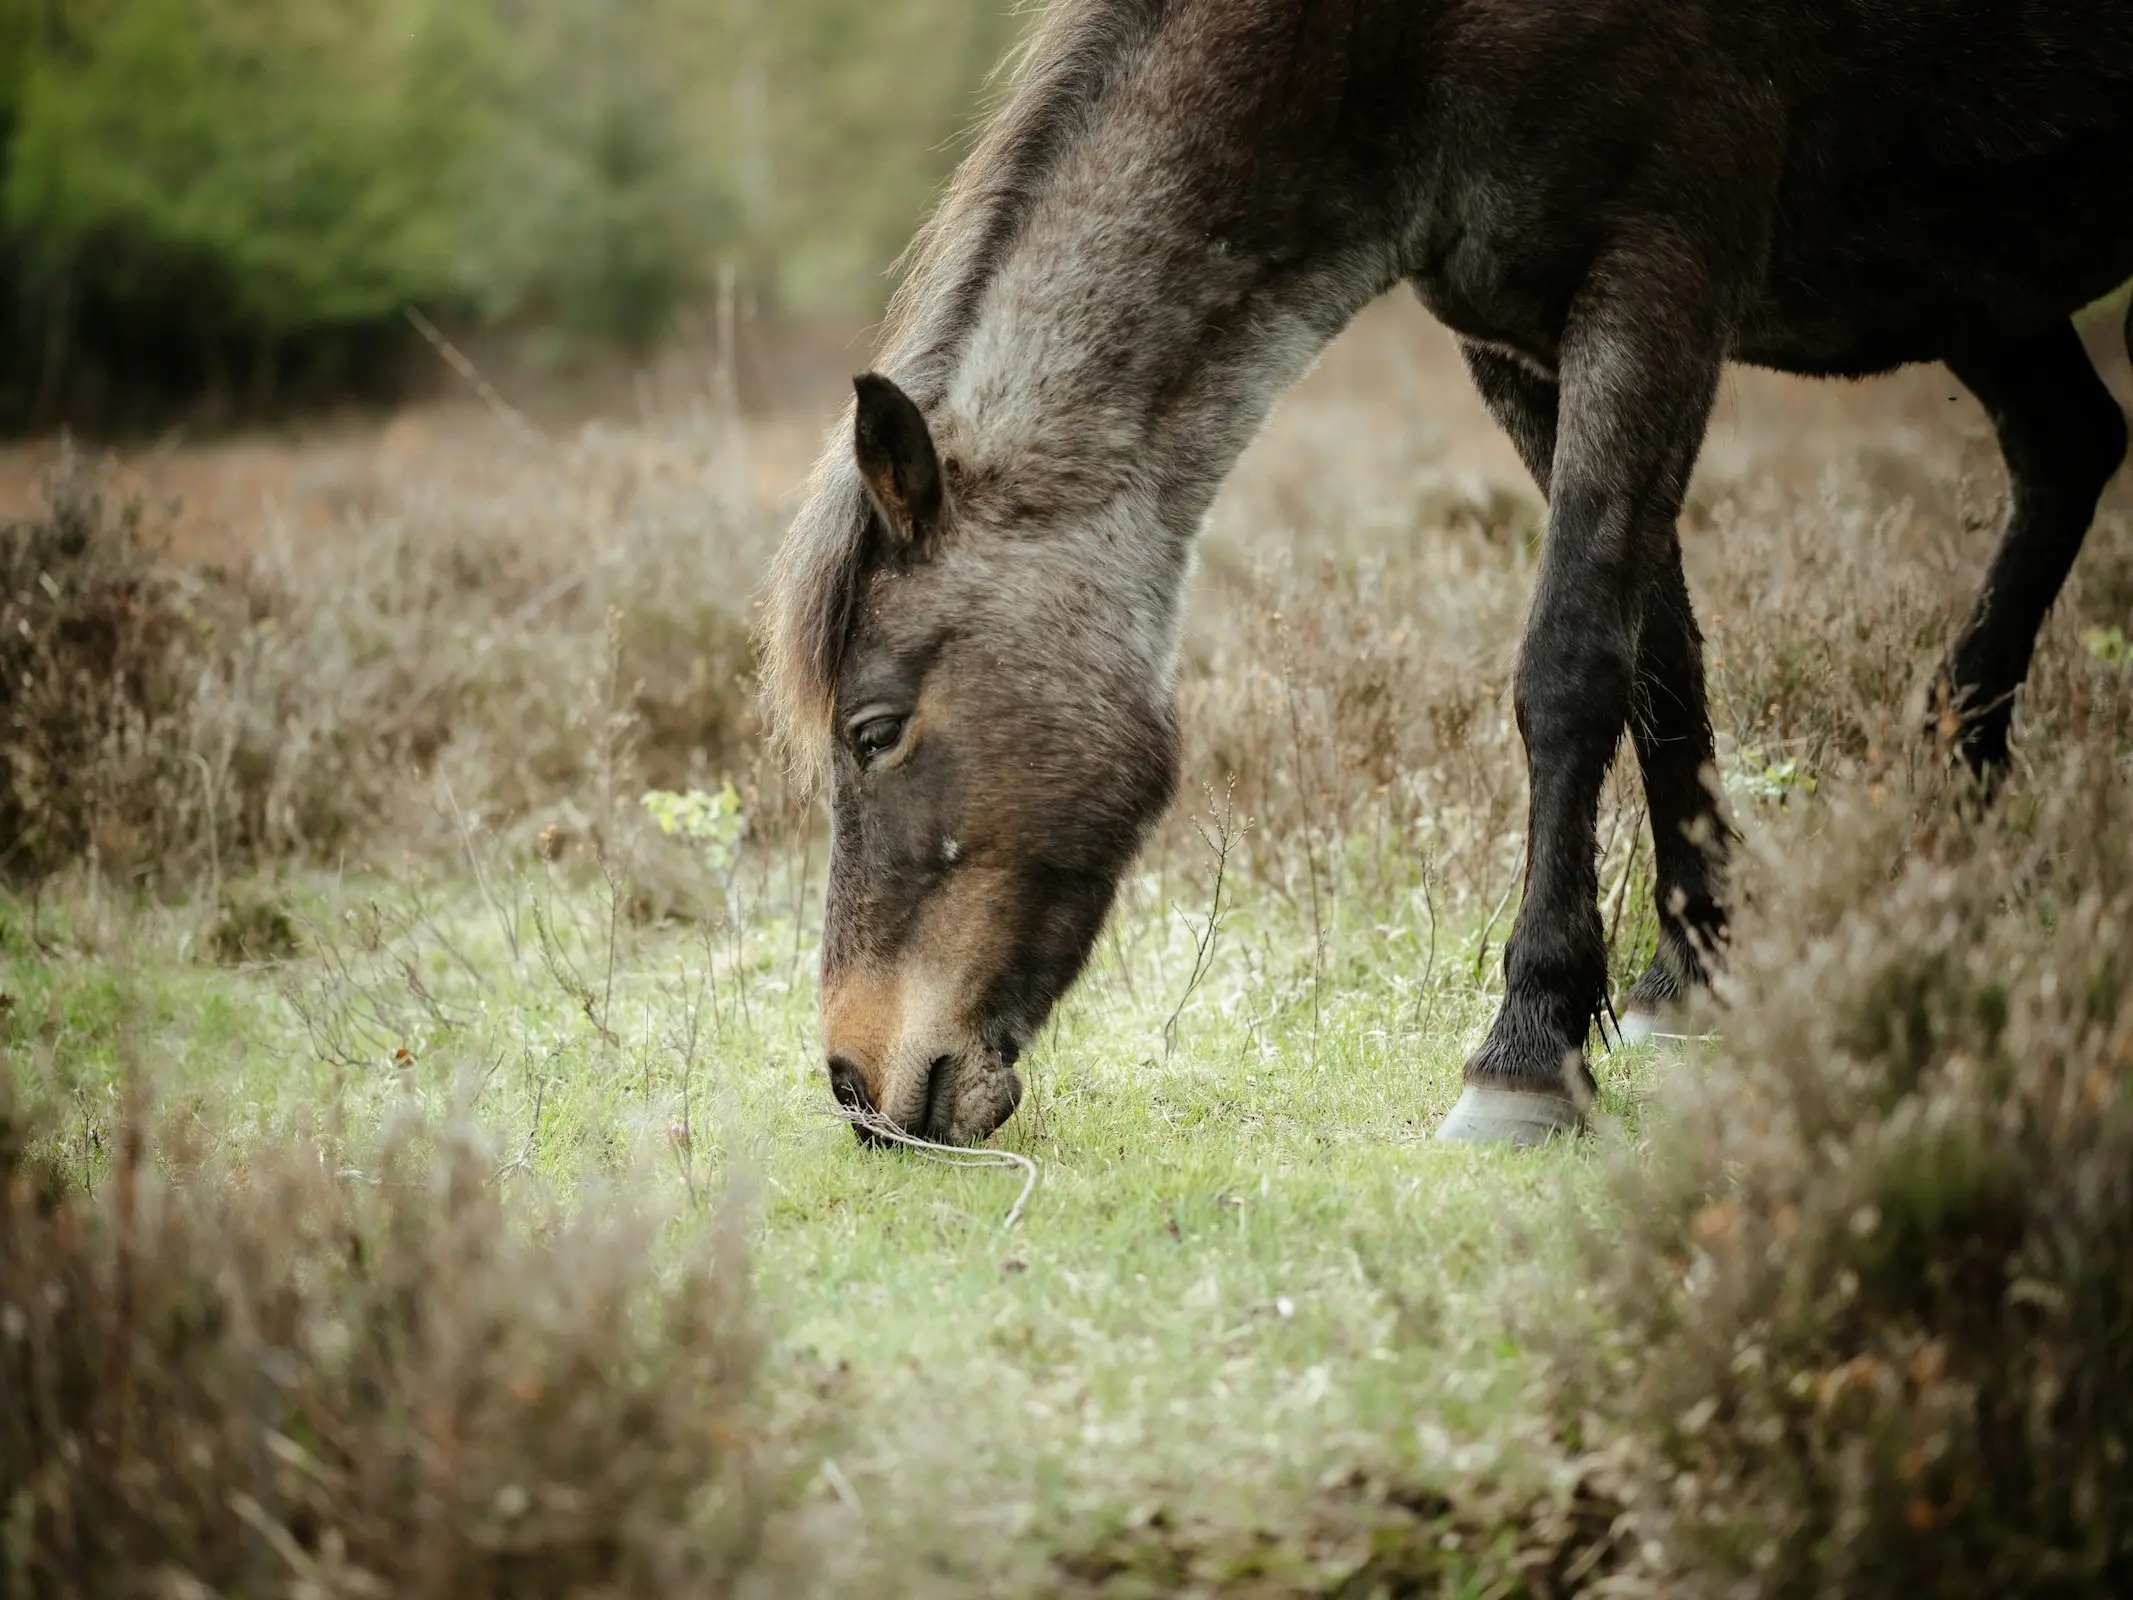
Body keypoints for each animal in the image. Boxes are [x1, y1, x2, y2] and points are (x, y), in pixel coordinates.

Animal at [759, 0, 2124, 1152]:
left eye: (874, 731)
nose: (855, 1079)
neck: (1395, 47)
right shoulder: (1521, 345)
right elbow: (1661, 662)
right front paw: (1692, 978)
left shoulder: (1660, 280)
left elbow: (1571, 669)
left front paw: (1526, 1055)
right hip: (1974, 269)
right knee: (2069, 448)